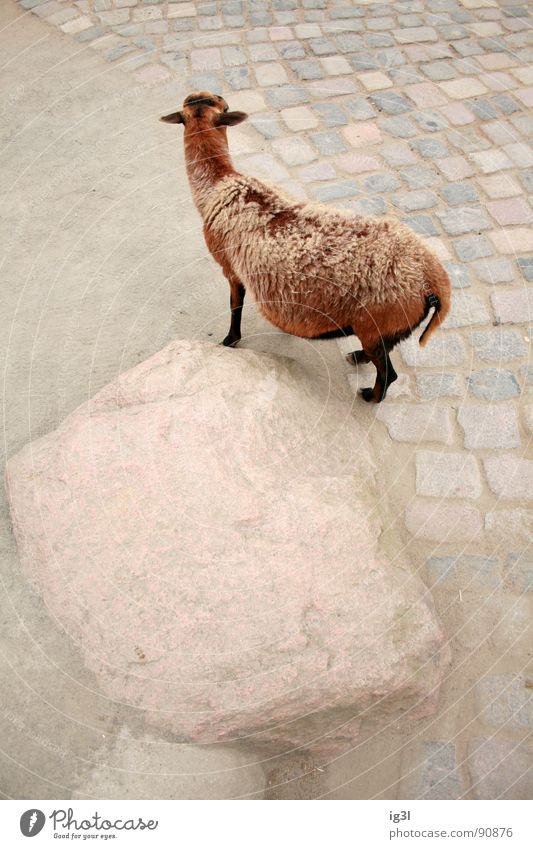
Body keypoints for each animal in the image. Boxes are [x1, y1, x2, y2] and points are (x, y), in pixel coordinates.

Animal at [161, 91, 448, 402]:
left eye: (218, 102)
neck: (220, 184)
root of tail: (434, 280)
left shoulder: (229, 267)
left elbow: (235, 305)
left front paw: (230, 340)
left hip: (377, 321)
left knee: (388, 373)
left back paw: (369, 395)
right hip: (384, 327)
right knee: (384, 351)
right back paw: (357, 356)